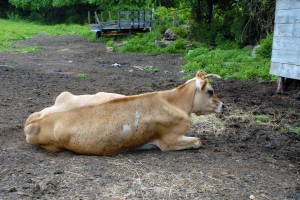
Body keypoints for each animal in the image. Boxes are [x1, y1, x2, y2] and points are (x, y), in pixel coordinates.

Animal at [24, 71, 224, 155]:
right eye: (211, 91)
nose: (223, 106)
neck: (174, 101)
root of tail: (31, 124)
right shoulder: (169, 141)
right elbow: (198, 141)